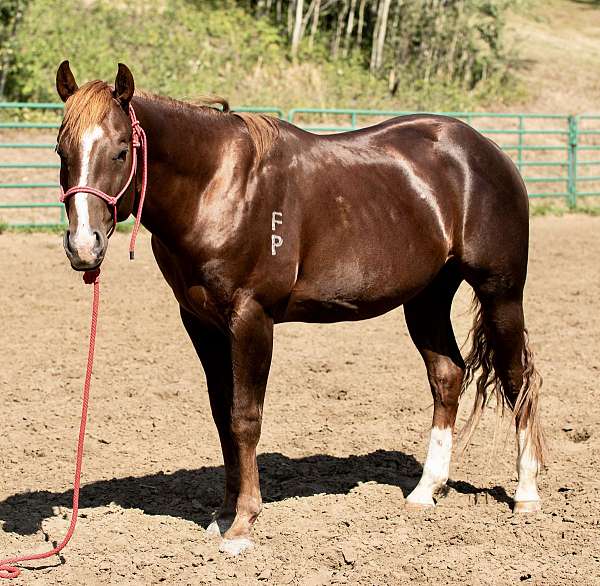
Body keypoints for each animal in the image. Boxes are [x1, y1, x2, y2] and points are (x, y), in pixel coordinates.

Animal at [55, 61, 544, 556]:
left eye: (120, 152)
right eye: (61, 150)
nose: (83, 247)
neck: (219, 186)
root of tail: (487, 152)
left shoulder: (251, 318)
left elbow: (245, 418)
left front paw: (242, 525)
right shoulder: (201, 322)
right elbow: (222, 416)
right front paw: (222, 515)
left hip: (500, 292)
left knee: (518, 378)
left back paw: (526, 494)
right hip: (426, 299)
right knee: (447, 376)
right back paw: (426, 490)